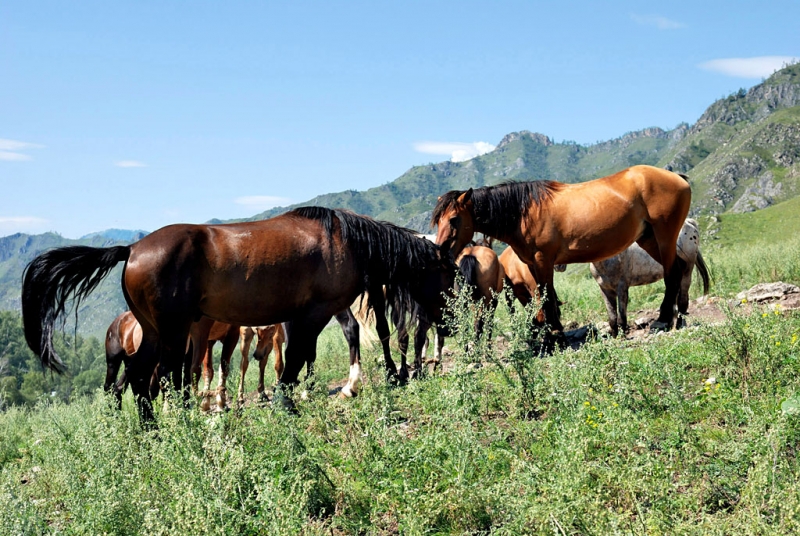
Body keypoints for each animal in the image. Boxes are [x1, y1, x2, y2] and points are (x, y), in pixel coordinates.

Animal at [23, 206, 450, 418]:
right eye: (446, 273)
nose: (448, 325)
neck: (341, 241)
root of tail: (131, 249)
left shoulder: (295, 317)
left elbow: (293, 359)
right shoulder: (315, 313)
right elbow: (297, 358)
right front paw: (286, 404)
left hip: (155, 332)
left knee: (141, 380)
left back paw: (152, 432)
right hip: (173, 332)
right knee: (156, 378)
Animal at [434, 165, 692, 338]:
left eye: (454, 219)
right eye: (438, 220)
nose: (441, 253)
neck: (524, 212)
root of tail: (676, 177)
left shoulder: (543, 260)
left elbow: (547, 297)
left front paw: (556, 336)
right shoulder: (532, 264)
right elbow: (541, 299)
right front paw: (550, 333)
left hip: (664, 236)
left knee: (671, 273)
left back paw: (663, 319)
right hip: (649, 239)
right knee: (679, 270)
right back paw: (678, 316)